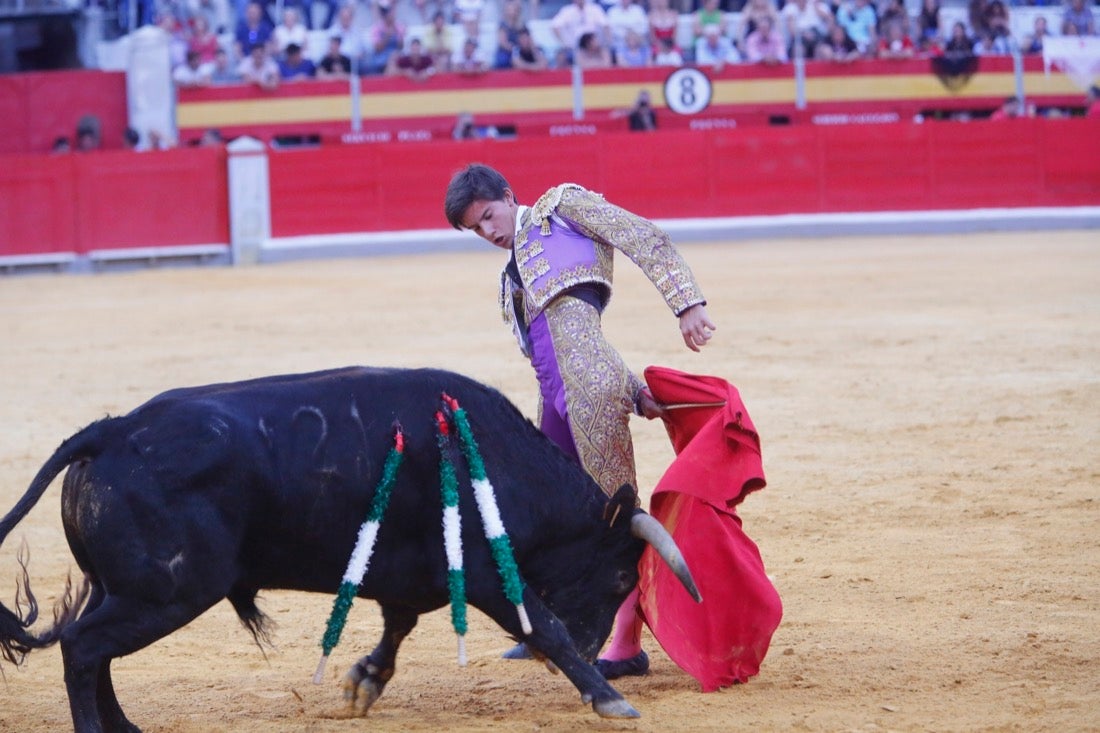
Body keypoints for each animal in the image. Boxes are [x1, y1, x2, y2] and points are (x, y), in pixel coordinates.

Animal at [0, 365, 699, 730]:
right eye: (621, 581)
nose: (591, 650)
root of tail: (111, 431)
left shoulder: (410, 575)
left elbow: (396, 628)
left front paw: (363, 683)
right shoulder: (483, 572)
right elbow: (543, 623)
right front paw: (608, 696)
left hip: (126, 590)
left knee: (93, 651)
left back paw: (124, 727)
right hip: (166, 591)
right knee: (83, 647)